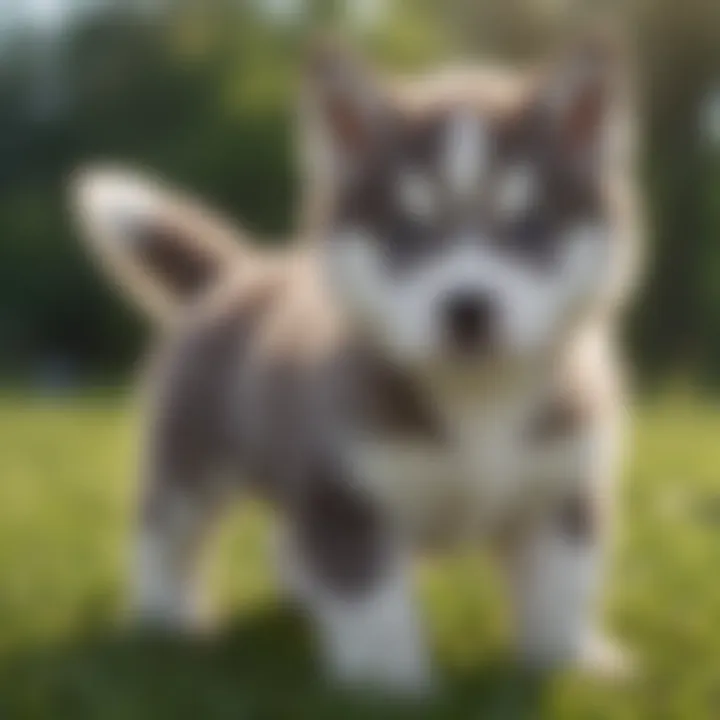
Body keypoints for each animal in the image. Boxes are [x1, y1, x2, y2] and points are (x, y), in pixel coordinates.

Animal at [70, 36, 640, 696]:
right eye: (406, 230)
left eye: (528, 226)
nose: (467, 309)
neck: (478, 398)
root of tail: (239, 273)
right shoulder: (343, 493)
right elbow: (371, 603)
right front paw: (391, 687)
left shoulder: (560, 492)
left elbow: (561, 589)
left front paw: (569, 664)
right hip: (193, 457)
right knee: (165, 530)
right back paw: (163, 621)